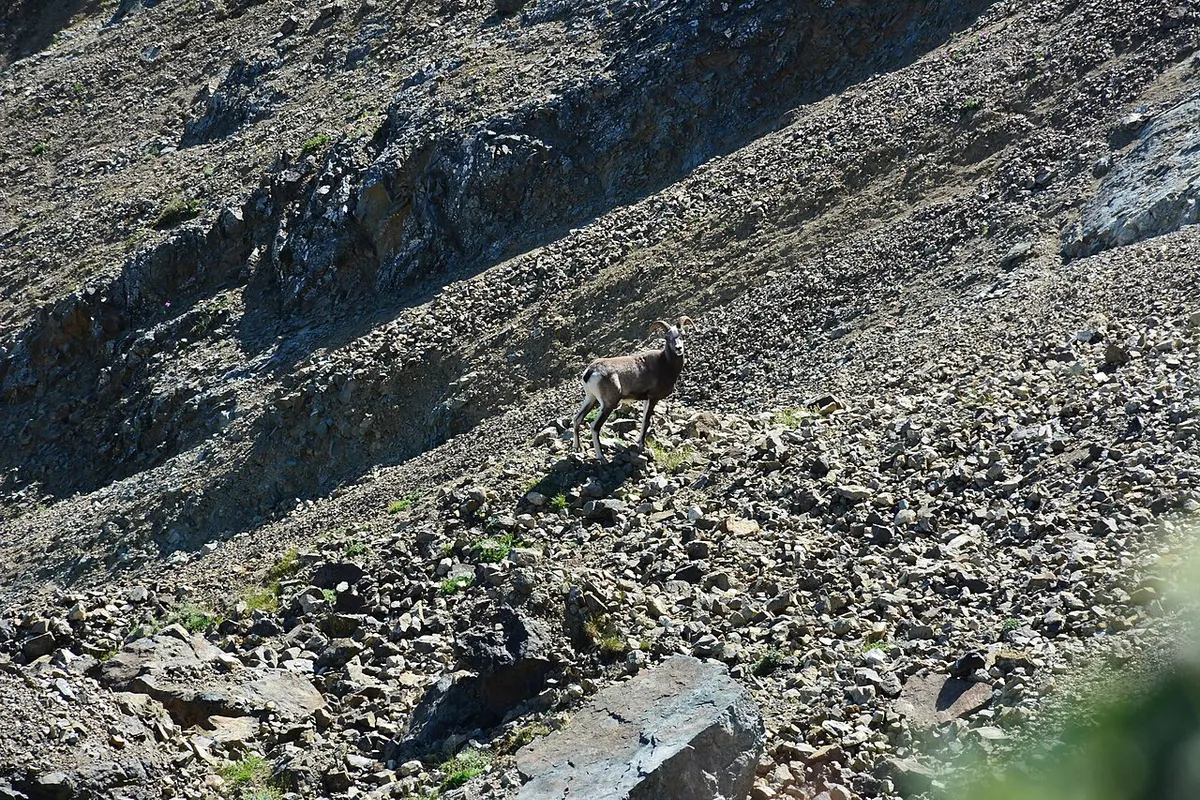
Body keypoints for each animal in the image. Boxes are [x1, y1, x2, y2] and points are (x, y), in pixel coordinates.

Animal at [571, 316, 693, 463]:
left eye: (683, 335)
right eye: (666, 337)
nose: (678, 348)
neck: (665, 364)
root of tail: (590, 372)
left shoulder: (646, 400)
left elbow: (644, 420)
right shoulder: (653, 398)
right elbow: (646, 422)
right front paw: (641, 446)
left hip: (591, 399)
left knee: (577, 419)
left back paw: (578, 448)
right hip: (608, 404)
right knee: (595, 427)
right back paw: (602, 458)